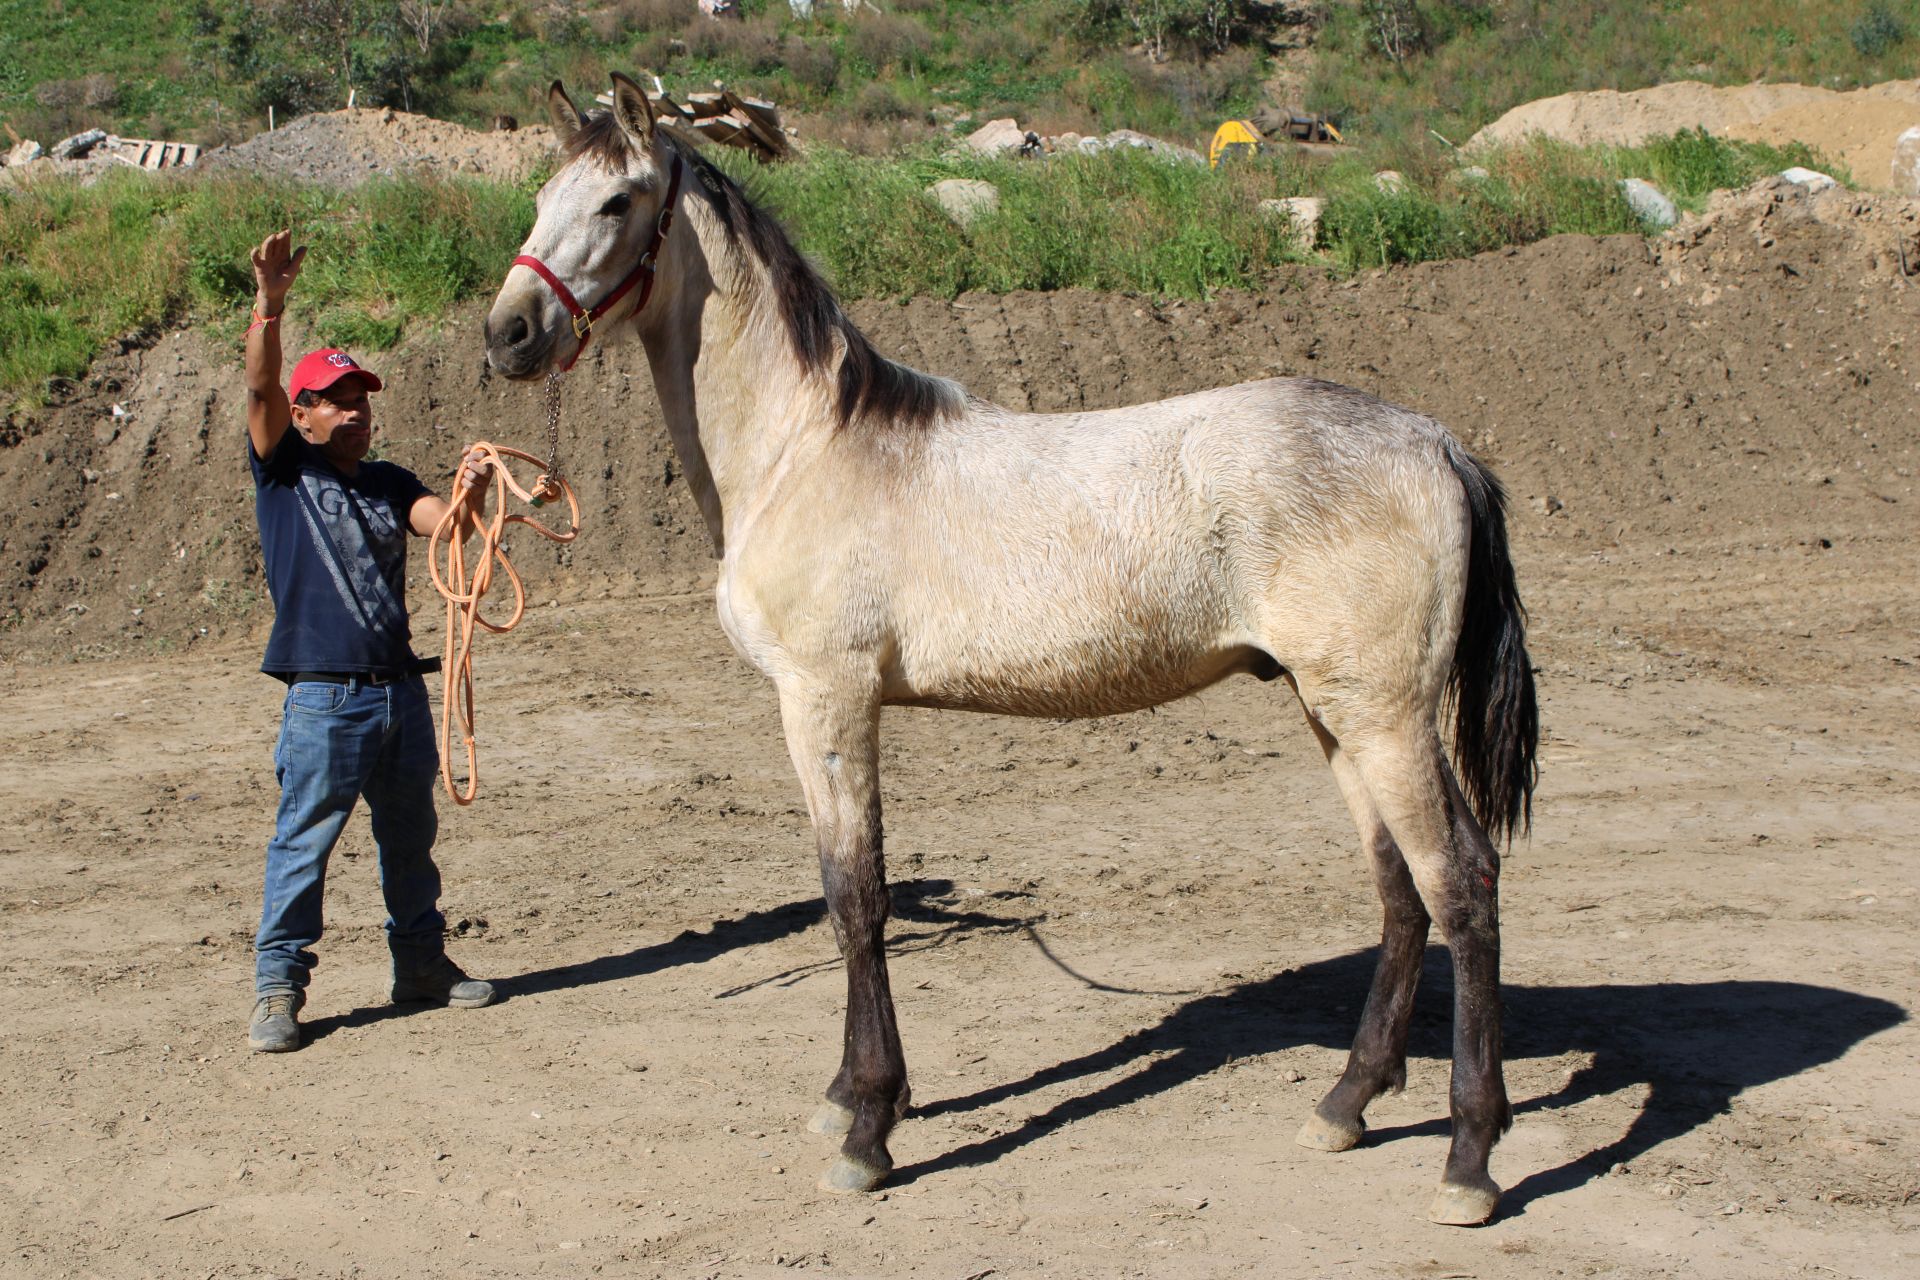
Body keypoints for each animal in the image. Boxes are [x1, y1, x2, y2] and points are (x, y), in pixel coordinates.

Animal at [483, 73, 1539, 1227]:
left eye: (618, 201)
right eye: (538, 197)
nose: (509, 333)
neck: (804, 449)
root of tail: (1437, 445)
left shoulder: (827, 699)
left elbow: (858, 898)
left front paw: (868, 1130)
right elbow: (842, 891)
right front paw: (849, 1097)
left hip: (1385, 717)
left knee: (1462, 884)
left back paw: (1469, 1159)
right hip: (1333, 711)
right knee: (1400, 893)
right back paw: (1346, 1103)